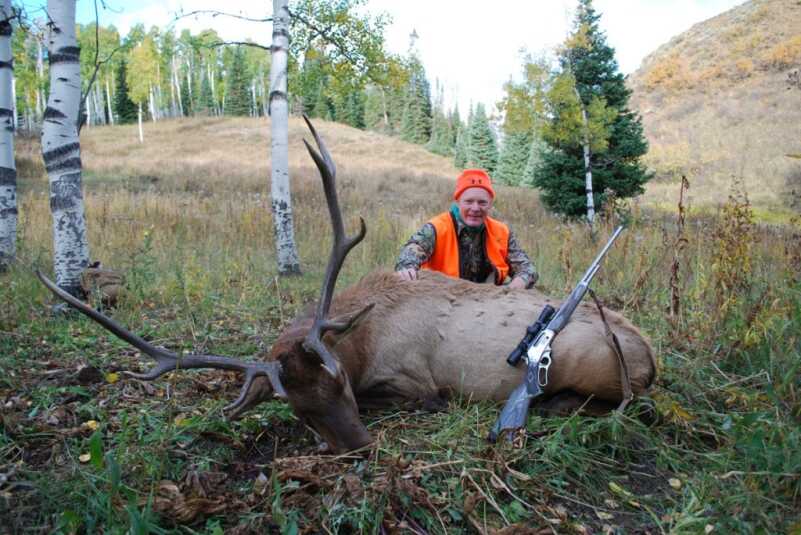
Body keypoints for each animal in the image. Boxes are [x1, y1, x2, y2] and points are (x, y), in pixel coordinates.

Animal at [38, 117, 656, 454]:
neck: (363, 336)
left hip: (589, 365)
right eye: (298, 410)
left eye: (340, 382)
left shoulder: (416, 382)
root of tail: (651, 358)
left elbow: (422, 396)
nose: (358, 446)